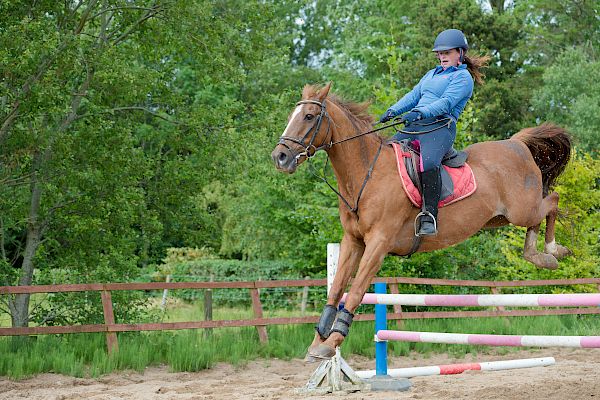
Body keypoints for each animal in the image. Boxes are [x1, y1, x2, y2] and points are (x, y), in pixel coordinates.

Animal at [270, 83, 572, 360]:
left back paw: (551, 251)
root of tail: (517, 143)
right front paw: (317, 341)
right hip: (498, 219)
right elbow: (336, 290)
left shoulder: (379, 243)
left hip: (522, 209)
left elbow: (354, 292)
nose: (280, 157)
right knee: (541, 214)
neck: (367, 174)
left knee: (552, 201)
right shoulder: (353, 241)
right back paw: (538, 255)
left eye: (309, 116)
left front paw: (331, 342)